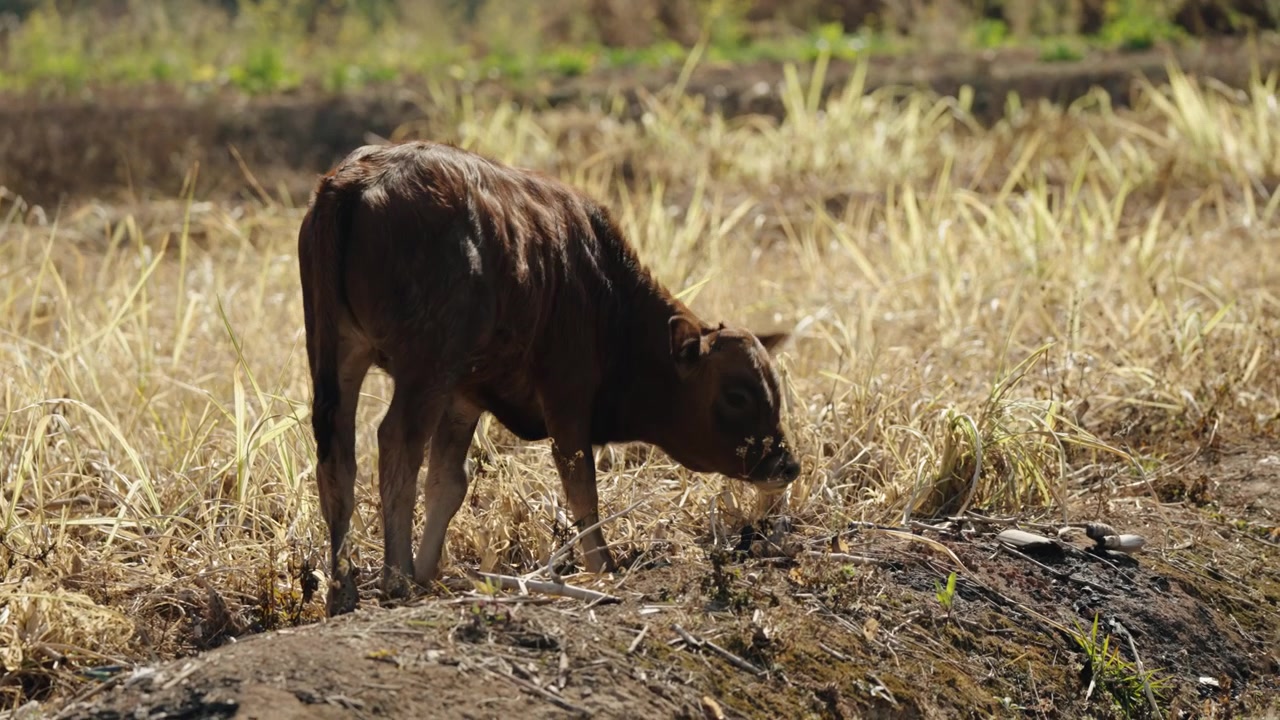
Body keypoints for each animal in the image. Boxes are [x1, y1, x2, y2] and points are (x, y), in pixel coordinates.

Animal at [297, 140, 801, 616]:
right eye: (736, 395)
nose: (786, 465)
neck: (603, 292)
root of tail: (356, 182)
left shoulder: (465, 395)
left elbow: (448, 481)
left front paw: (428, 572)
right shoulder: (565, 392)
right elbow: (580, 484)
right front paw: (604, 566)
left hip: (337, 353)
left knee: (337, 454)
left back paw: (344, 590)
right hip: (423, 368)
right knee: (396, 442)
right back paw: (395, 579)